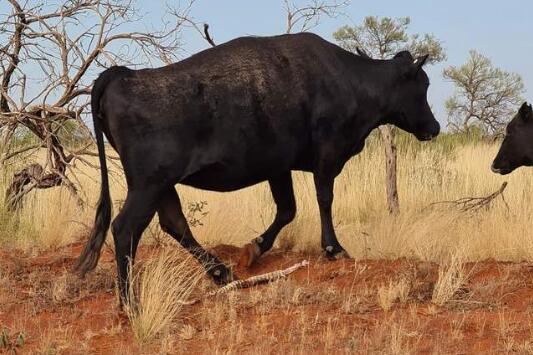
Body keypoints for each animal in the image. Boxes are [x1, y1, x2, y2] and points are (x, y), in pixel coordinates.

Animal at [75, 32, 440, 304]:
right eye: (422, 86)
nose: (434, 127)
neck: (351, 80)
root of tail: (125, 74)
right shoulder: (327, 156)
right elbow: (324, 200)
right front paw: (333, 248)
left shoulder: (278, 167)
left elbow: (287, 210)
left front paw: (254, 249)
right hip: (148, 185)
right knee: (126, 229)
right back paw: (129, 303)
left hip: (161, 186)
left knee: (174, 224)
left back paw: (221, 272)